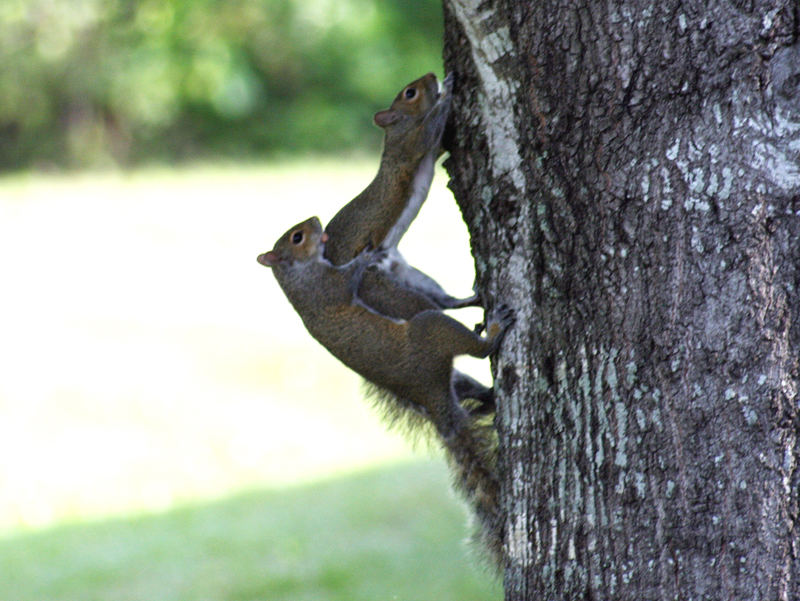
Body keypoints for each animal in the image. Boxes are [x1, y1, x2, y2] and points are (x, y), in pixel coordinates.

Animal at [260, 217, 516, 568]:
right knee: (474, 348)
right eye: (297, 237)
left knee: (472, 394)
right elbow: (350, 276)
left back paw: (488, 397)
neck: (295, 278)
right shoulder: (328, 287)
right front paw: (366, 256)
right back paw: (493, 332)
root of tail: (430, 394)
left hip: (455, 379)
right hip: (430, 329)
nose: (315, 220)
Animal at [322, 71, 478, 310]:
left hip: (405, 273)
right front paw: (448, 88)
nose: (432, 74)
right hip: (381, 286)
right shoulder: (409, 145)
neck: (397, 129)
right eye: (410, 93)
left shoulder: (431, 148)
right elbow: (430, 128)